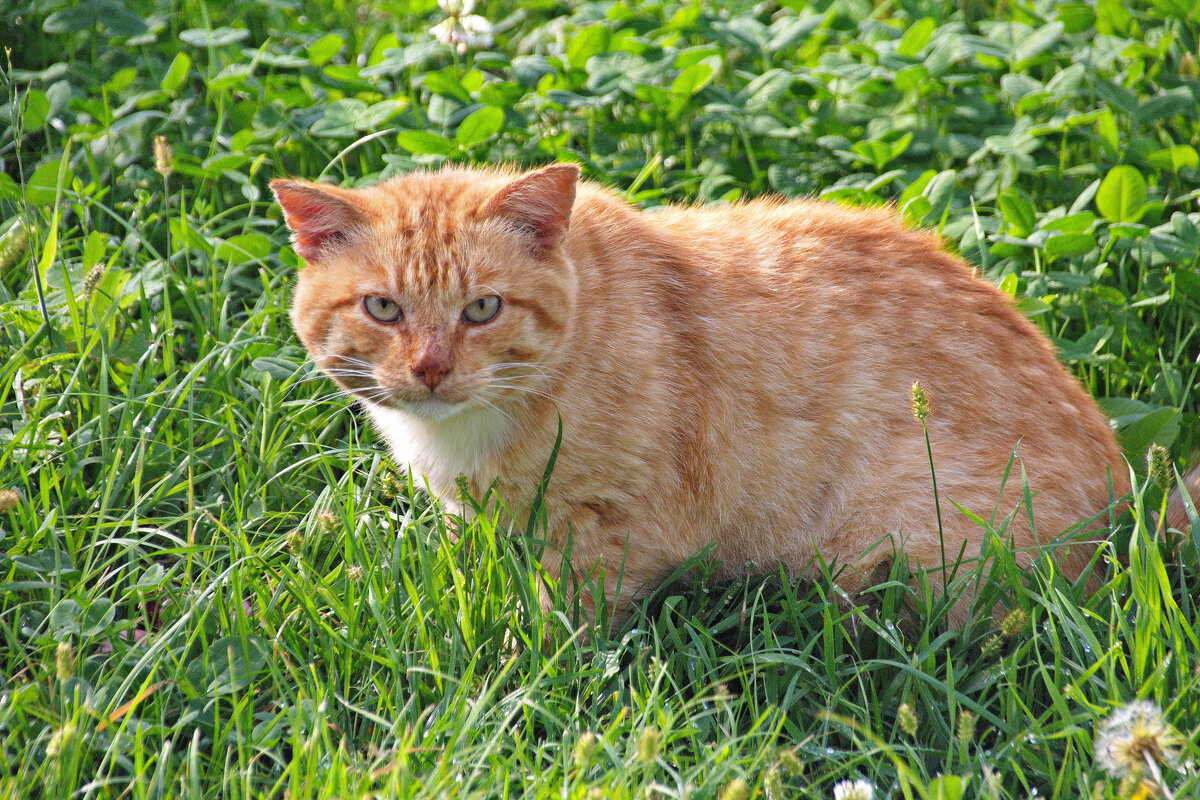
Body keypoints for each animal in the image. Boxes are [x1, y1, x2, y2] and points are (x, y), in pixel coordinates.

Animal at [270, 160, 1142, 623]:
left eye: (482, 308)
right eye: (384, 308)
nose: (431, 369)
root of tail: (1128, 492)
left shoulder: (612, 528)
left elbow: (563, 626)